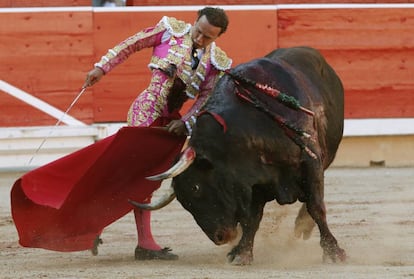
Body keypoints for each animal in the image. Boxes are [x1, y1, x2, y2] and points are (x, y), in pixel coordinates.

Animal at [133, 47, 346, 266]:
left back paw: (303, 226)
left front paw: (333, 252)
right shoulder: (255, 180)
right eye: (184, 202)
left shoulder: (310, 161)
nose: (220, 238)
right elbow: (252, 218)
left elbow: (316, 206)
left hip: (326, 155)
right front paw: (242, 253)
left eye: (196, 188)